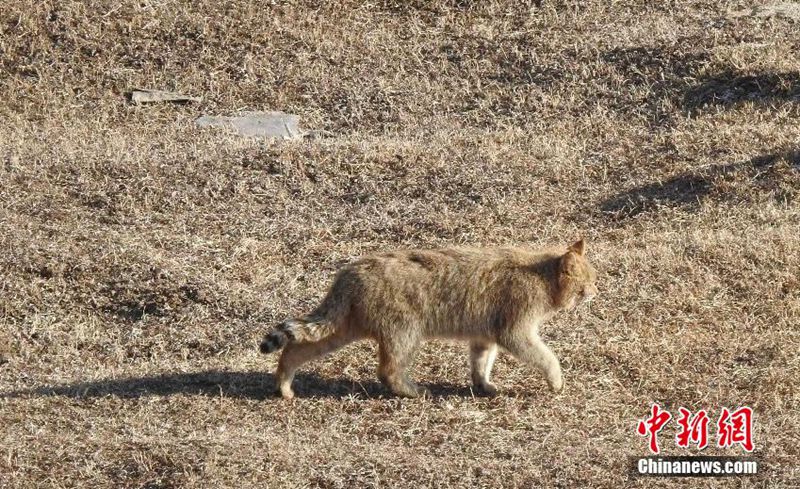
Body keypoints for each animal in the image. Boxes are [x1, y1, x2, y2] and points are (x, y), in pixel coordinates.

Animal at [260, 239, 596, 396]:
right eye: (587, 283)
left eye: (594, 279)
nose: (596, 291)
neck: (541, 275)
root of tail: (349, 273)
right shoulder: (514, 331)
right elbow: (547, 357)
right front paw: (556, 381)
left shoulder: (484, 336)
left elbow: (480, 365)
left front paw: (483, 385)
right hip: (404, 333)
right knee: (388, 371)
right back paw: (412, 391)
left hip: (342, 329)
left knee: (295, 349)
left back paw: (285, 386)